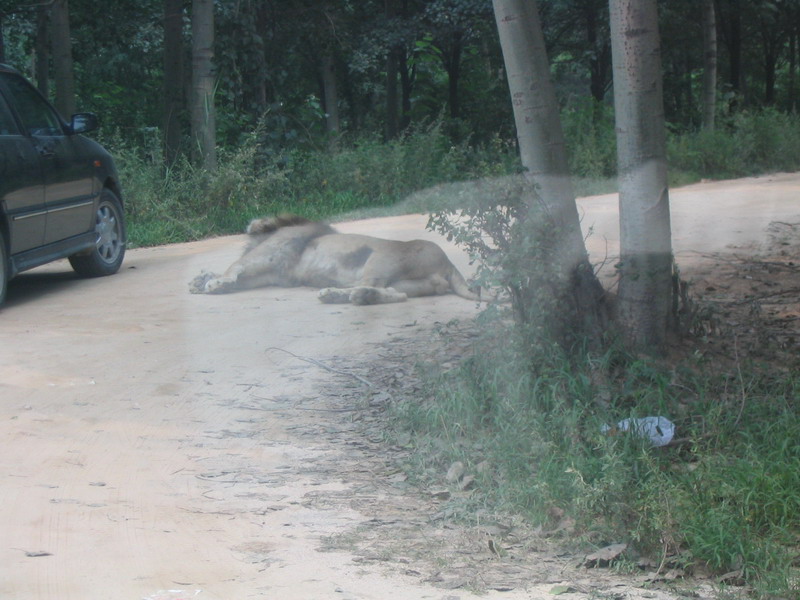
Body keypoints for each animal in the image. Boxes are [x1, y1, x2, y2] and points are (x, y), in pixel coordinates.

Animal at [190, 216, 478, 304]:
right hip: (409, 283)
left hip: (381, 258)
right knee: (397, 294)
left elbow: (234, 267)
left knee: (373, 285)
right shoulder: (272, 273)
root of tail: (448, 263)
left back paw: (336, 294)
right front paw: (202, 279)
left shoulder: (269, 254)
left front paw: (213, 282)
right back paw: (350, 296)